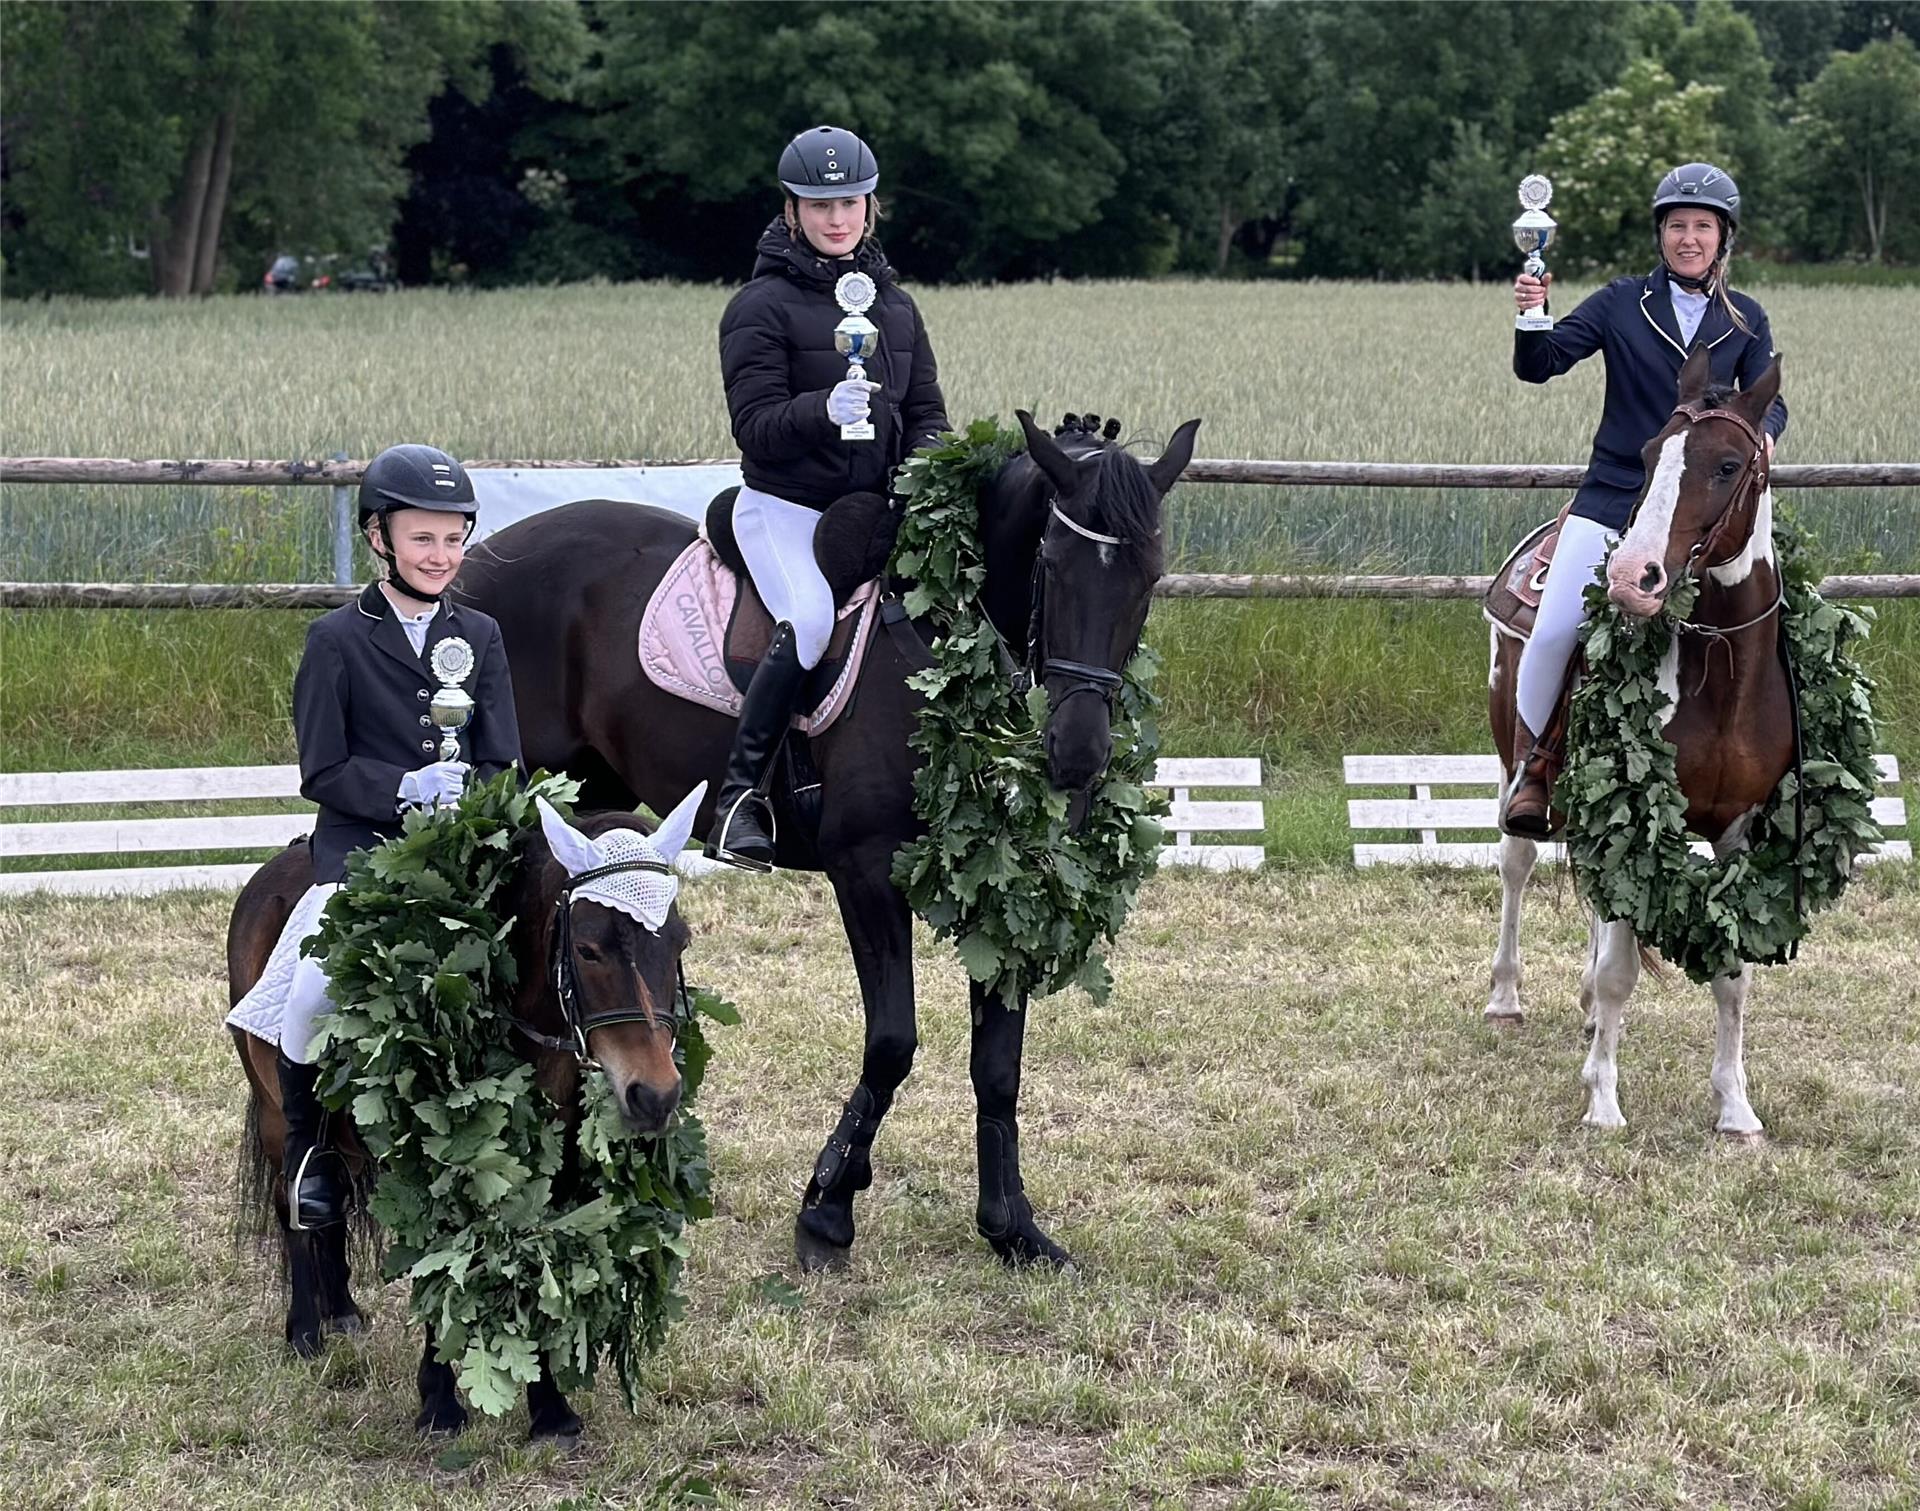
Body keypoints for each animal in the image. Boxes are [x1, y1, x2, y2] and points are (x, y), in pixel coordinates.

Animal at [227, 802, 698, 1443]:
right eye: (589, 949)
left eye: (678, 940)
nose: (655, 1096)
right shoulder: (429, 1173)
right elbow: (438, 1272)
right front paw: (439, 1404)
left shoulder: (552, 1177)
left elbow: (544, 1271)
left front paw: (551, 1411)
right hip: (276, 1114)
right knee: (293, 1201)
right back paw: (304, 1331)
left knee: (335, 1200)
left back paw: (342, 1311)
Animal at [455, 410, 1190, 1274]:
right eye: (1051, 564)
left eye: (1149, 576)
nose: (1076, 755)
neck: (949, 646)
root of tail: (479, 561)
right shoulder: (865, 872)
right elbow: (894, 1043)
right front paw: (827, 1209)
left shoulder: (1003, 890)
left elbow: (999, 1066)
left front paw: (1012, 1226)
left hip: (588, 796)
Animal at [1482, 351, 1781, 1136]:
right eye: (1649, 456)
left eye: (1729, 464)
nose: (1632, 578)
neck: (1720, 671)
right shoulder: (1641, 813)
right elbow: (1622, 972)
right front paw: (1604, 1100)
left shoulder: (1737, 833)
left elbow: (1733, 975)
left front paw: (1736, 1108)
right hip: (1513, 764)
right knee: (1517, 864)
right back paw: (1505, 998)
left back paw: (1586, 1011)